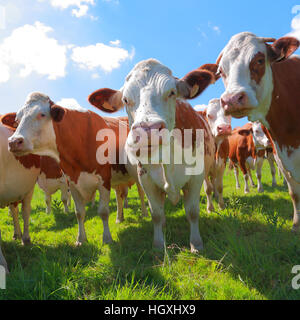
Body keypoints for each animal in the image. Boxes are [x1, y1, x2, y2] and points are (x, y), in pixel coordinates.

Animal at [2, 94, 146, 246]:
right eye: (17, 120)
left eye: (42, 114)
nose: (13, 142)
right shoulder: (72, 182)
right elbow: (79, 212)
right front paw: (81, 239)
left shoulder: (103, 180)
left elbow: (103, 211)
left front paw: (107, 238)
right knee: (119, 196)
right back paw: (119, 217)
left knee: (141, 193)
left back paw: (144, 213)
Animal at [87, 58, 218, 252]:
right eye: (125, 100)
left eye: (172, 92)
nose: (148, 130)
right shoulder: (146, 179)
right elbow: (155, 213)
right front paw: (158, 245)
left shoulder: (196, 178)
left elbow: (193, 212)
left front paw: (196, 243)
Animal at [217, 31, 300, 230]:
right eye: (221, 71)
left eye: (260, 60)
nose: (231, 99)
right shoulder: (280, 157)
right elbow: (294, 193)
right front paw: (296, 225)